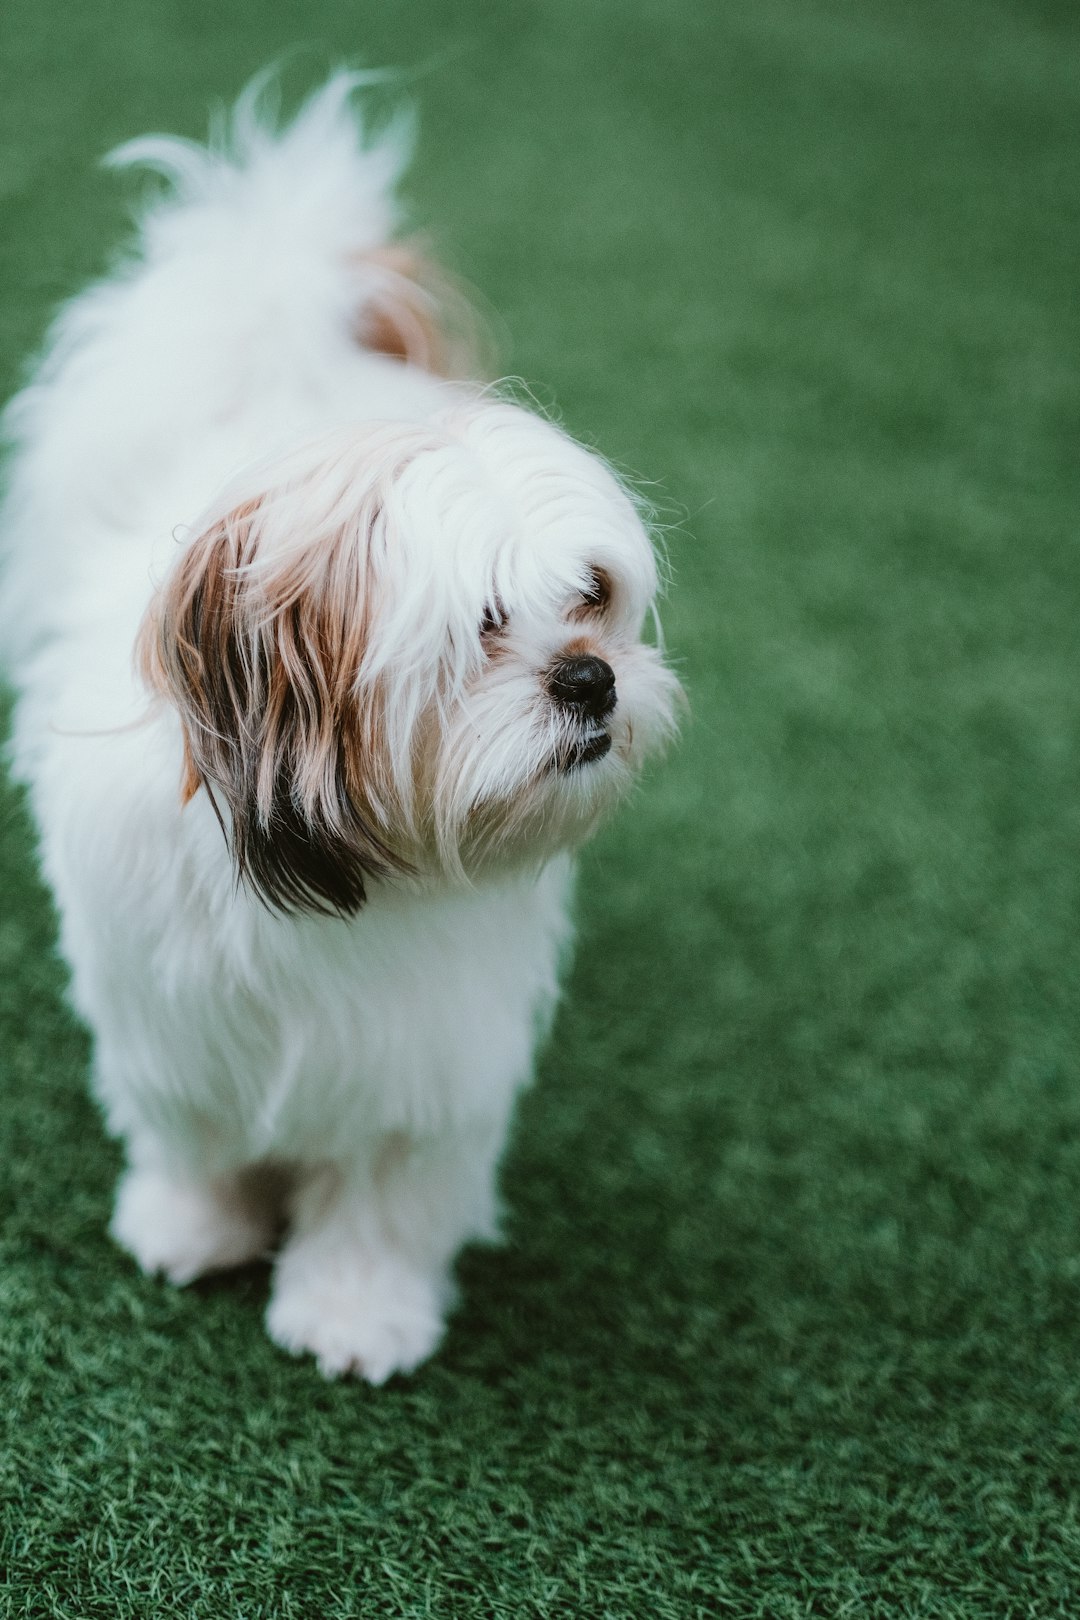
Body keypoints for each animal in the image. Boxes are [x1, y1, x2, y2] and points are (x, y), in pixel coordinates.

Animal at [0, 69, 680, 1373]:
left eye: (592, 597)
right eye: (483, 623)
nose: (591, 679)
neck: (357, 867)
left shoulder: (430, 1052)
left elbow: (384, 1185)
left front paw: (356, 1310)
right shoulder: (169, 1015)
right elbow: (194, 1132)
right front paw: (190, 1227)